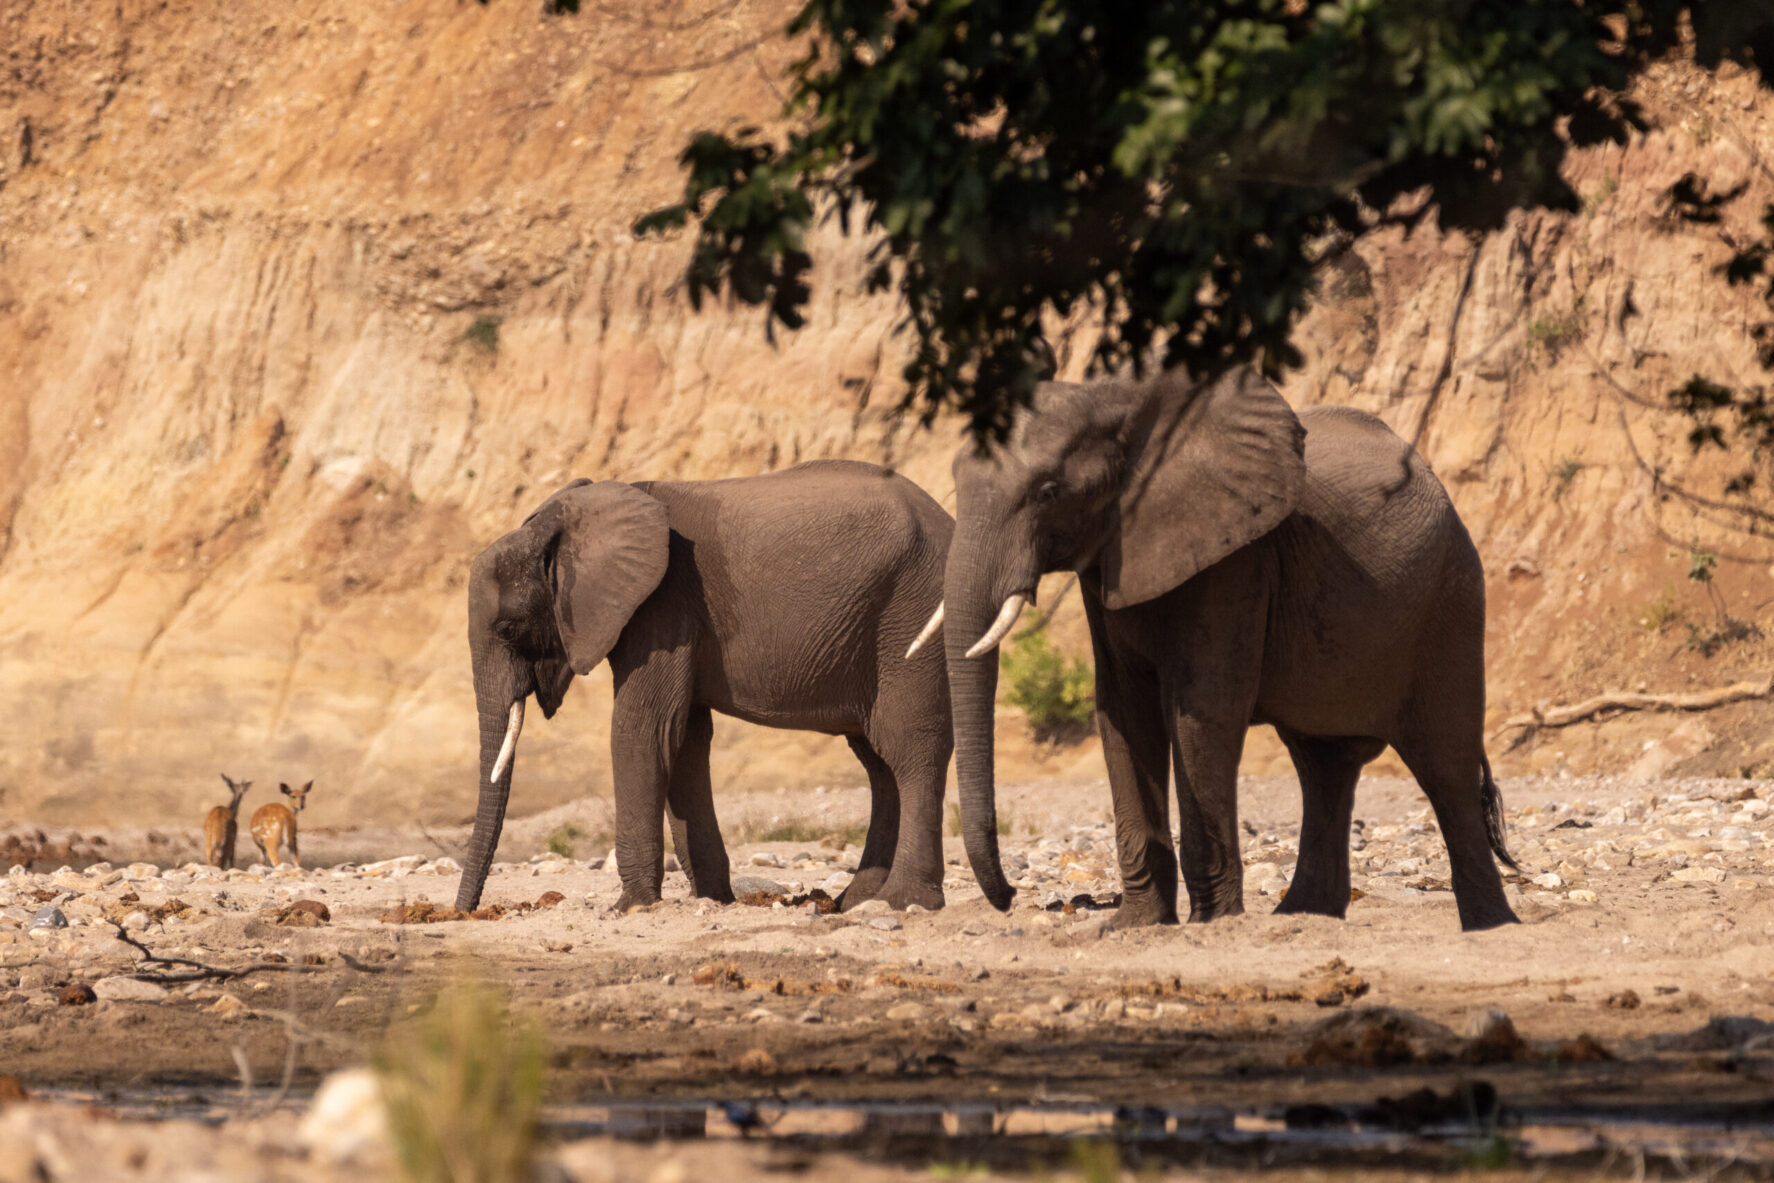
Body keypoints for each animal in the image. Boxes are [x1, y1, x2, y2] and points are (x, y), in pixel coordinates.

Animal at [458, 460, 955, 915]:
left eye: (507, 628)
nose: (465, 912)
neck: (563, 524)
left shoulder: (662, 605)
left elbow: (643, 731)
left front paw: (630, 907)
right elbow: (683, 741)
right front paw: (714, 900)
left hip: (913, 611)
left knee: (909, 748)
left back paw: (902, 901)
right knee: (878, 762)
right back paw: (854, 902)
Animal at [939, 367, 1520, 932]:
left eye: (1048, 491)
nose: (1011, 897)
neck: (1120, 401)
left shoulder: (1237, 560)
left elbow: (1203, 709)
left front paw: (1211, 923)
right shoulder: (1109, 558)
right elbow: (1121, 710)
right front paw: (1131, 927)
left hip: (1451, 598)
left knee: (1444, 766)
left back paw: (1489, 928)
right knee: (1325, 766)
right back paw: (1303, 917)